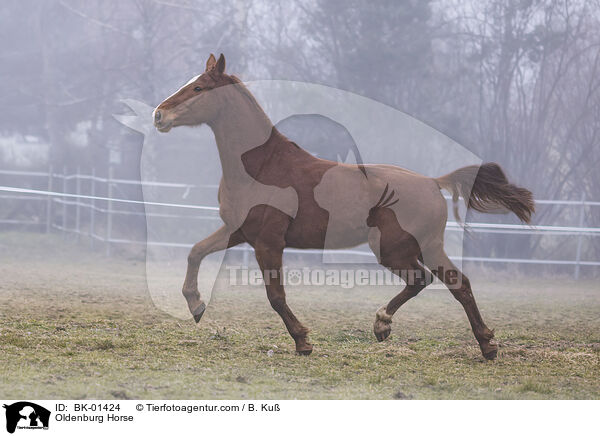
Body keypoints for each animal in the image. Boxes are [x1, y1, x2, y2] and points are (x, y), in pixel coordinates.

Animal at [154, 54, 536, 360]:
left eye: (199, 88)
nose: (159, 115)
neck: (261, 168)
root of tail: (433, 182)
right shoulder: (239, 232)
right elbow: (195, 251)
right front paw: (196, 305)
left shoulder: (268, 242)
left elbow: (275, 296)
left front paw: (303, 341)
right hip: (420, 247)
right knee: (450, 282)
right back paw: (468, 341)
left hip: (395, 248)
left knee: (432, 280)